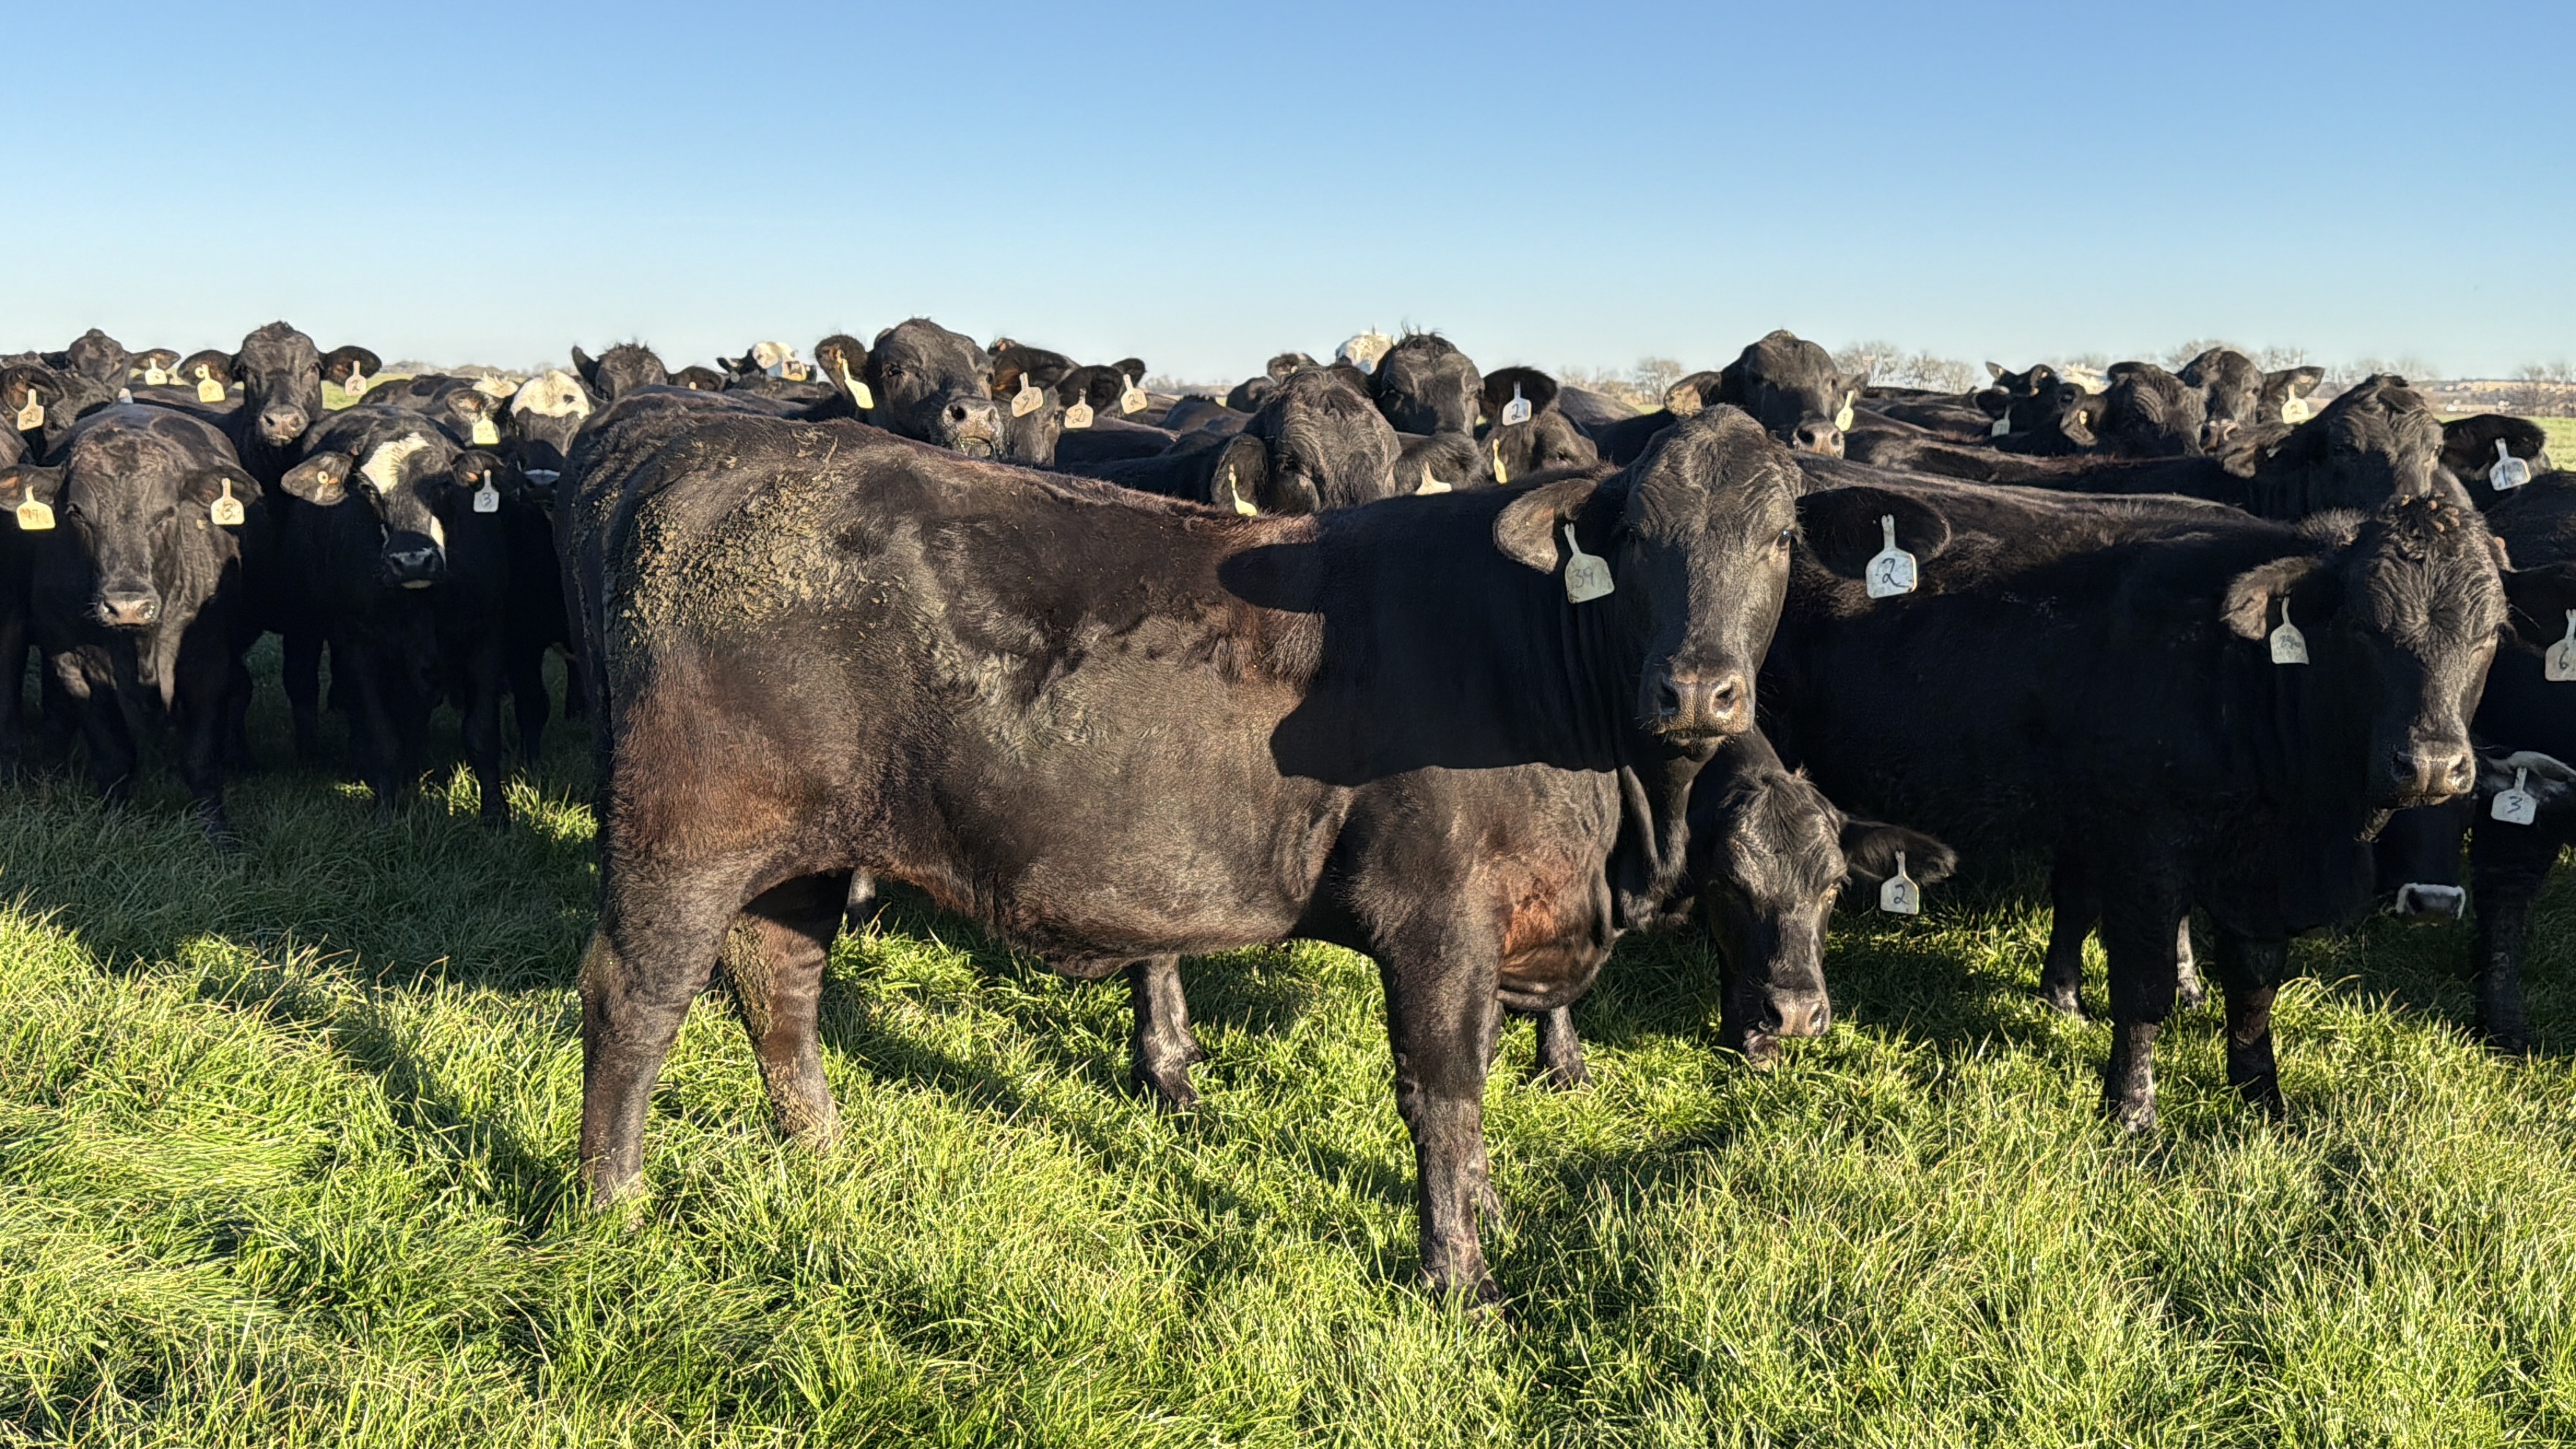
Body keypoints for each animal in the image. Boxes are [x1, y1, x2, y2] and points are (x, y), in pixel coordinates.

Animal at [0, 404, 263, 836]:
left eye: (167, 512)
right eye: (76, 512)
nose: (126, 606)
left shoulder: (207, 661)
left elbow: (199, 758)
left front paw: (217, 831)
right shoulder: (72, 663)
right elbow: (113, 755)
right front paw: (113, 821)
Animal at [562, 405, 1803, 1301]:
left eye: (1780, 538)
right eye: (1636, 537)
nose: (1698, 688)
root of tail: (707, 445)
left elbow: (1485, 1078)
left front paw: (1487, 1222)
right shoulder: (1437, 914)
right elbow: (1445, 1093)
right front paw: (1462, 1281)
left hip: (808, 849)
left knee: (780, 985)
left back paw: (823, 1153)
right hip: (686, 834)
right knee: (636, 1001)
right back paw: (611, 1209)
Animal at [1764, 470, 2504, 1128]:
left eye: (2492, 632)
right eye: (2362, 627)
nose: (2431, 765)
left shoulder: (2253, 873)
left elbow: (2255, 988)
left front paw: (2262, 1097)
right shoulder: (2144, 852)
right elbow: (2144, 991)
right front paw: (2131, 1108)